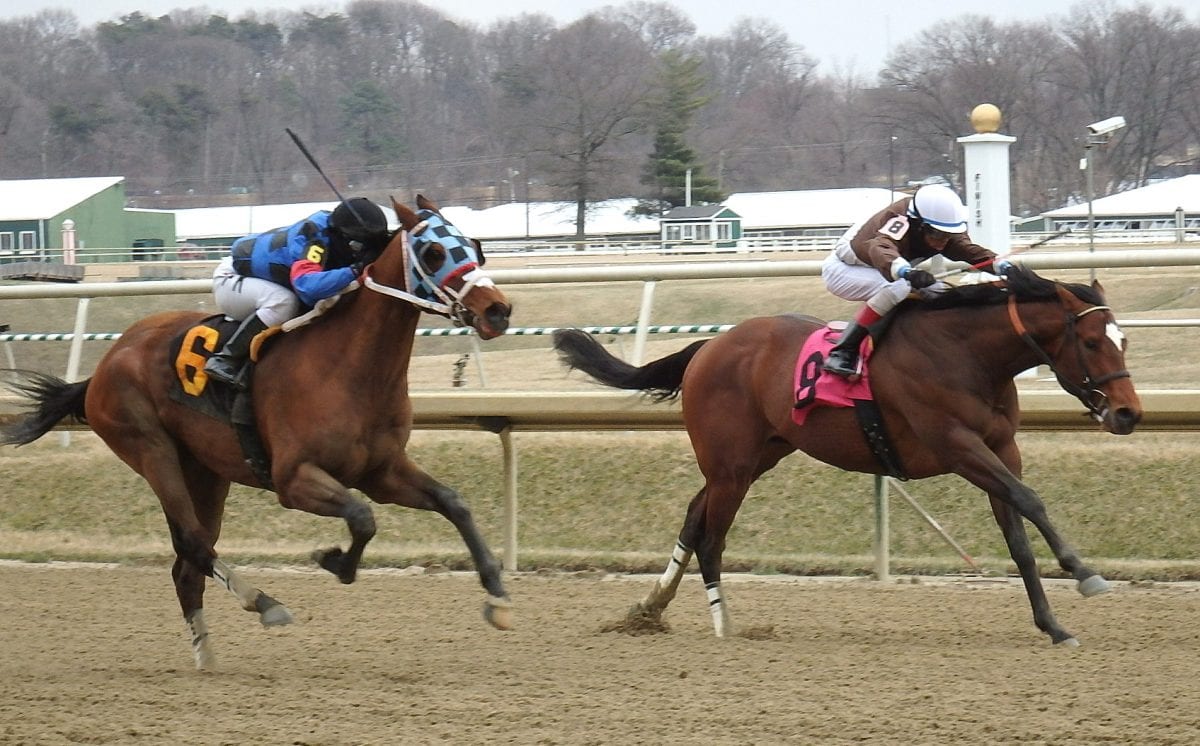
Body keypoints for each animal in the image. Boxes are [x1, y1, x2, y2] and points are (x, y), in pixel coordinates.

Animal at [2, 194, 516, 671]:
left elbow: (453, 502)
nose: (497, 311)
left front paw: (497, 595)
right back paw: (264, 603)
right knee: (194, 542)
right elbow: (362, 517)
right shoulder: (294, 479)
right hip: (150, 449)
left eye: (475, 246)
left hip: (206, 472)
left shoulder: (382, 471)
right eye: (433, 251)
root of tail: (106, 364)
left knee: (186, 565)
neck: (351, 367)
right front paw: (334, 561)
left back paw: (207, 658)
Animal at [552, 265, 1142, 647]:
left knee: (695, 518)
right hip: (732, 466)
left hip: (754, 458)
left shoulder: (1001, 448)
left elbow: (1018, 535)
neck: (967, 353)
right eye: (1092, 342)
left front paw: (1053, 626)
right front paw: (1085, 574)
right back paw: (723, 625)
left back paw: (650, 608)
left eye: (1124, 340)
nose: (1128, 413)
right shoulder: (958, 446)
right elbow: (1030, 499)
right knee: (711, 535)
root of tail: (710, 346)